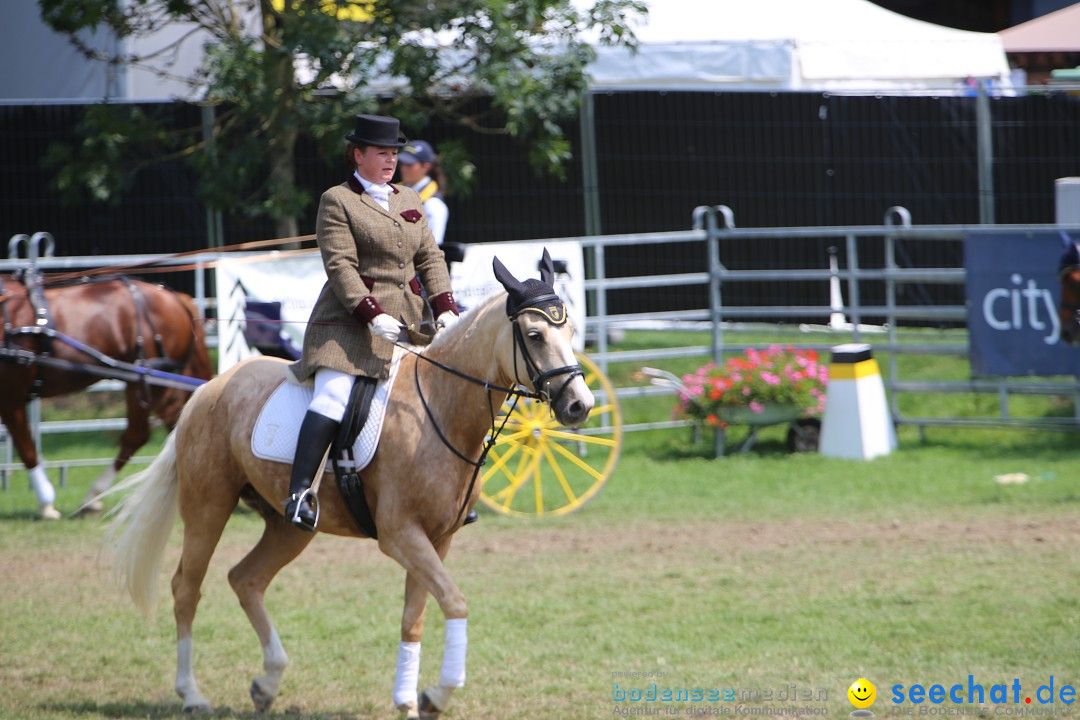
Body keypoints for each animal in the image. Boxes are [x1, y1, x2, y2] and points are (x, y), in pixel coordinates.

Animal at [0, 274, 212, 518]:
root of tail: (174, 297)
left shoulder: (11, 395)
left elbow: (26, 449)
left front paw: (46, 505)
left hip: (143, 380)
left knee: (140, 434)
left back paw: (94, 495)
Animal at [101, 254, 591, 720]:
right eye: (534, 335)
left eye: (570, 330)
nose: (579, 405)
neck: (437, 408)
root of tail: (208, 390)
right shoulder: (400, 535)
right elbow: (455, 602)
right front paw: (436, 693)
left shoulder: (437, 538)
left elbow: (414, 618)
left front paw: (409, 699)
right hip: (208, 507)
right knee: (187, 587)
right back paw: (192, 694)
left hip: (288, 526)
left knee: (246, 579)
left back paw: (268, 682)